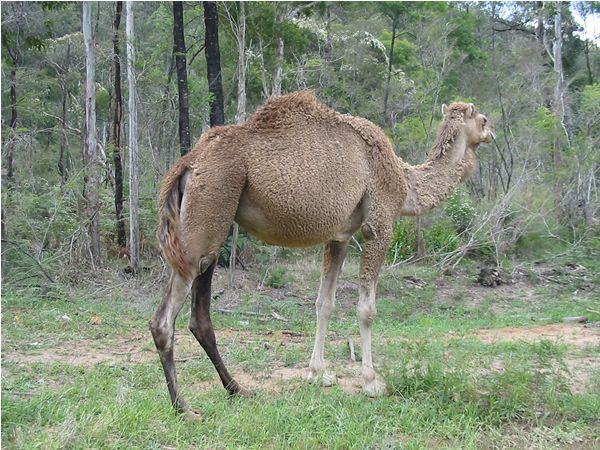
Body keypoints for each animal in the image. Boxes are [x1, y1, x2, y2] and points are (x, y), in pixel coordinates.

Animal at [152, 91, 494, 414]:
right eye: (485, 120)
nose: (494, 134)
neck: (405, 181)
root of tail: (187, 164)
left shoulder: (339, 236)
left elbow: (323, 304)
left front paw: (318, 374)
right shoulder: (379, 226)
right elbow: (367, 309)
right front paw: (372, 382)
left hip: (203, 230)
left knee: (199, 316)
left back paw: (236, 388)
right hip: (209, 213)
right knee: (164, 321)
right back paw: (184, 407)